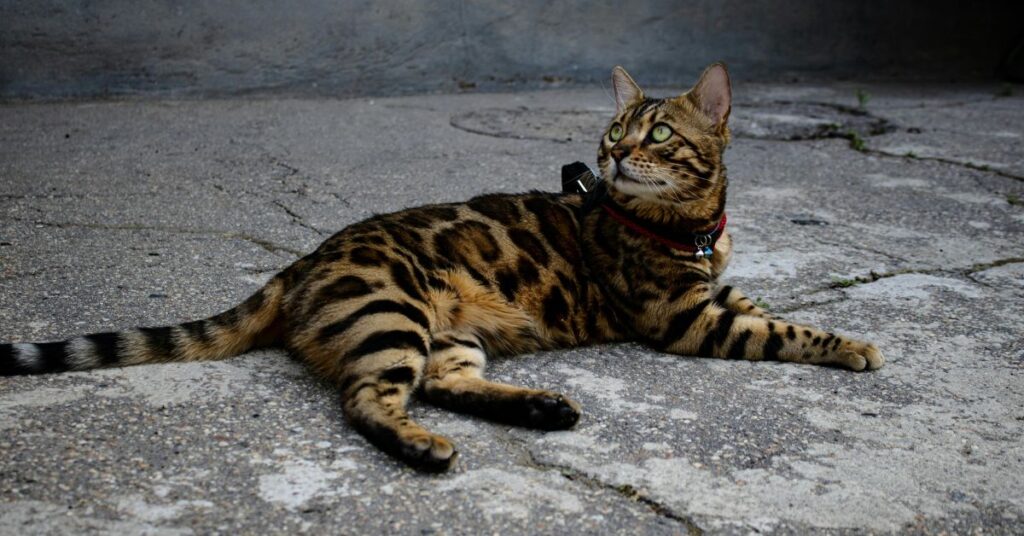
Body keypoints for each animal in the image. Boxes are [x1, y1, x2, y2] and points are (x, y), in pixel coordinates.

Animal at [0, 63, 880, 471]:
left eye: (658, 134)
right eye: (612, 131)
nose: (614, 155)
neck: (692, 230)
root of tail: (307, 259)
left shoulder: (716, 290)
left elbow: (766, 305)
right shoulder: (686, 318)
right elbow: (785, 331)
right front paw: (854, 346)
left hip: (446, 333)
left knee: (442, 383)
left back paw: (540, 408)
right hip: (392, 313)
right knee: (367, 401)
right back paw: (425, 447)